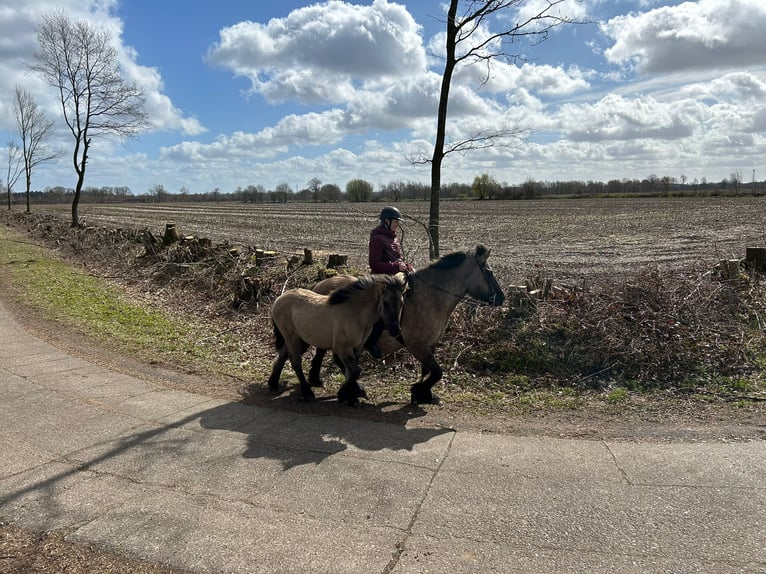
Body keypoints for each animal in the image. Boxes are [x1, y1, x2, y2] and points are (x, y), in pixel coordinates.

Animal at [267, 273, 406, 405]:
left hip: (297, 339)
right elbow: (355, 372)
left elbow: (350, 372)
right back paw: (307, 393)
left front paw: (351, 397)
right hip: (293, 338)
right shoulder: (342, 348)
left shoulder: (357, 348)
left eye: (402, 303)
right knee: (295, 361)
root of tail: (278, 300)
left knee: (284, 354)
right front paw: (345, 394)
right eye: (385, 302)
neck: (357, 315)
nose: (395, 330)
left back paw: (273, 383)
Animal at [308, 244, 505, 405]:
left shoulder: (430, 344)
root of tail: (320, 285)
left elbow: (428, 371)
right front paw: (418, 390)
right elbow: (437, 372)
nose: (502, 298)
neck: (431, 297)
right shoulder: (417, 345)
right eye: (489, 273)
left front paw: (425, 395)